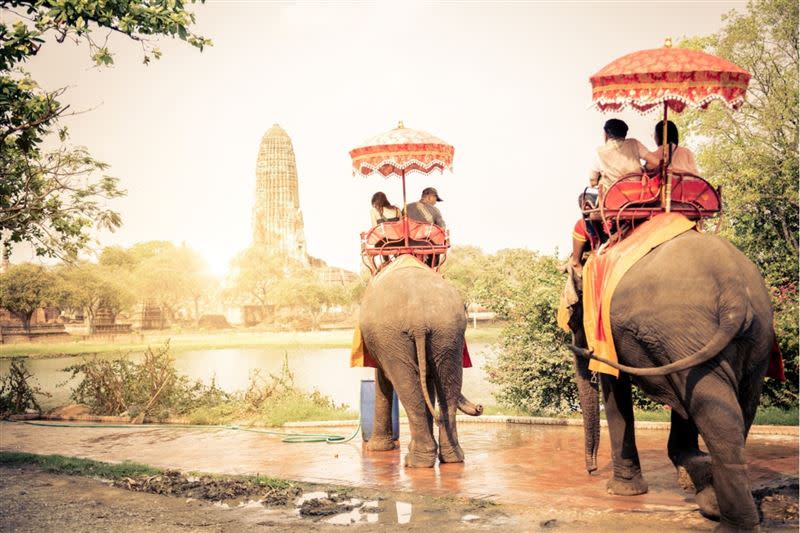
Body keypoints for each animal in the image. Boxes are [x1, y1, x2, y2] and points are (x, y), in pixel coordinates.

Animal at [360, 262, 482, 466]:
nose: (480, 407)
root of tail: (418, 320)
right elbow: (428, 380)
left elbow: (384, 377)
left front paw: (376, 449)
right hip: (447, 333)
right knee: (447, 383)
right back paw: (451, 458)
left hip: (395, 336)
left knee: (406, 384)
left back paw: (416, 462)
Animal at [564, 230, 772, 532]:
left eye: (572, 319)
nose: (591, 471)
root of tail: (734, 290)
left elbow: (615, 388)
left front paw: (620, 491)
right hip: (750, 339)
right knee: (732, 406)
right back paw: (710, 499)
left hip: (684, 329)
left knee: (713, 411)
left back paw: (728, 522)